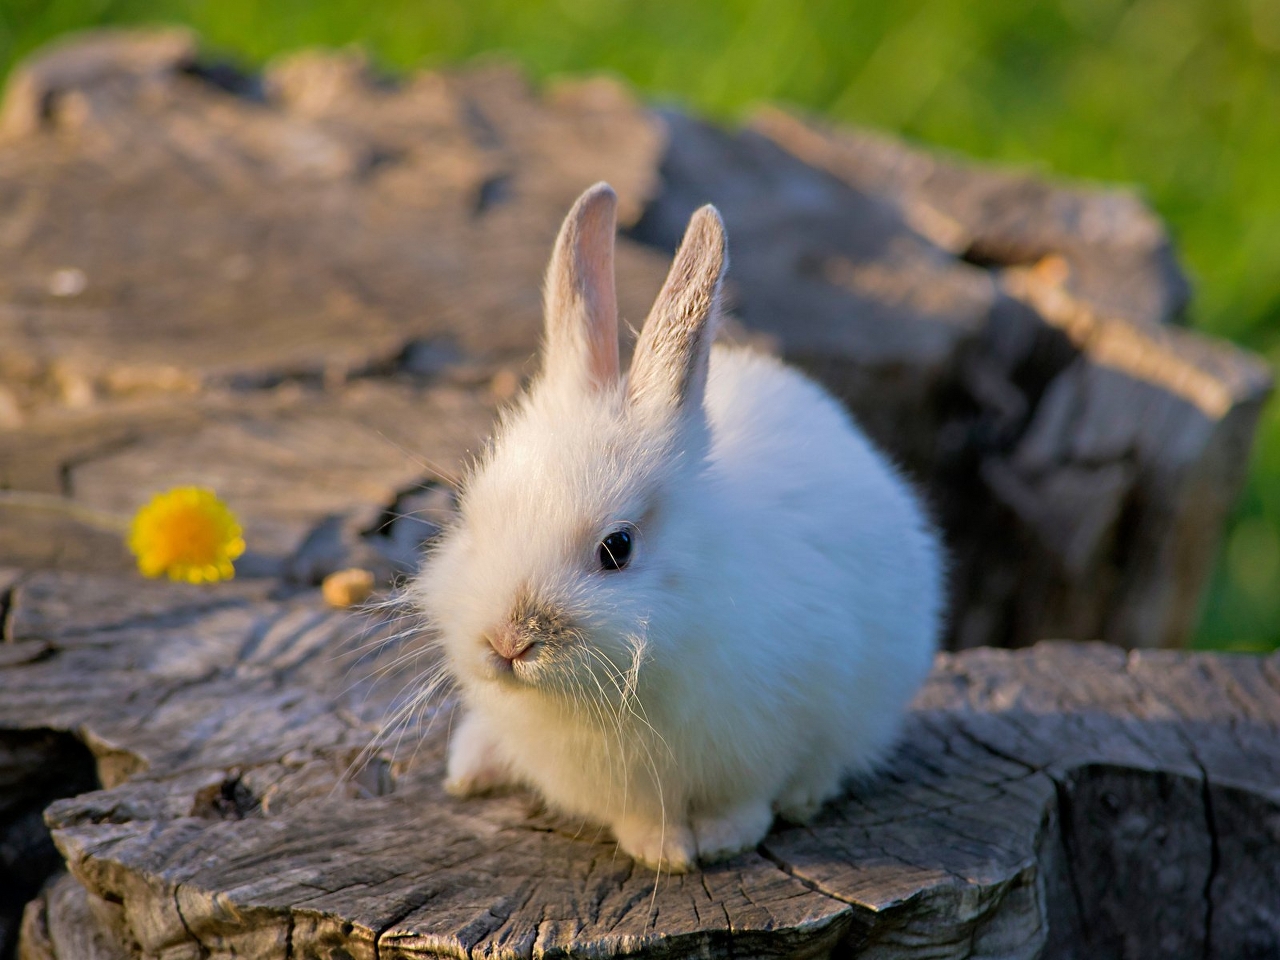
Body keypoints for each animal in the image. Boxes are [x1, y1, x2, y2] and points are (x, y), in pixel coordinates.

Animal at [414, 180, 947, 870]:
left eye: (617, 548)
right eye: (472, 518)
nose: (507, 643)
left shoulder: (768, 740)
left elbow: (746, 799)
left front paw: (721, 842)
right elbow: (641, 815)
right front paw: (661, 850)